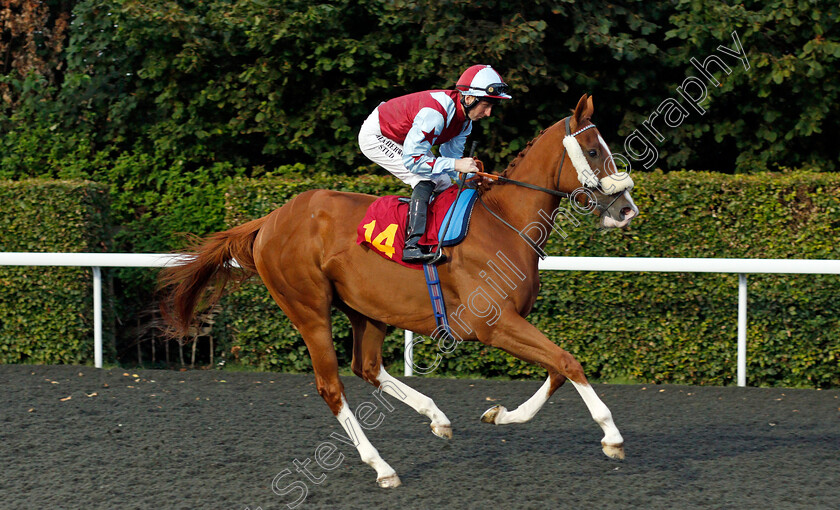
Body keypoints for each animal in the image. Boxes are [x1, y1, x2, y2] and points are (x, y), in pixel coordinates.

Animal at [161, 93, 640, 488]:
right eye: (594, 150)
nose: (626, 209)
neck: (505, 222)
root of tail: (270, 220)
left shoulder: (512, 322)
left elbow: (557, 369)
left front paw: (501, 414)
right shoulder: (493, 323)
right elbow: (568, 361)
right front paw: (612, 435)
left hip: (368, 309)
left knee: (368, 367)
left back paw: (436, 417)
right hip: (308, 308)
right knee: (332, 386)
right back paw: (382, 466)